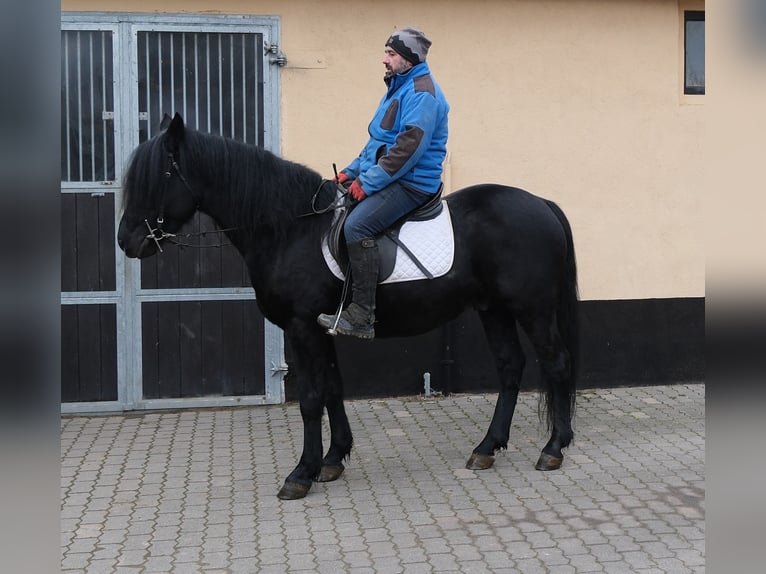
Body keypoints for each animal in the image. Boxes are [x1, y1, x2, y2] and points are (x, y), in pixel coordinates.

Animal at [117, 113, 579, 500]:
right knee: (510, 367)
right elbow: (333, 389)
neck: (290, 228)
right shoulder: (323, 329)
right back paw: (486, 448)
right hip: (493, 308)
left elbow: (310, 398)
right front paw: (333, 460)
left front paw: (300, 474)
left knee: (556, 363)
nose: (127, 241)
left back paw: (553, 448)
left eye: (161, 175)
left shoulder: (301, 327)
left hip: (532, 307)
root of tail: (542, 203)